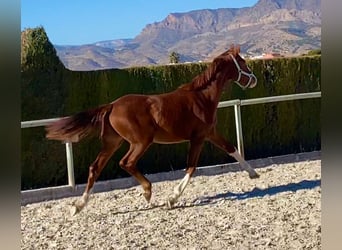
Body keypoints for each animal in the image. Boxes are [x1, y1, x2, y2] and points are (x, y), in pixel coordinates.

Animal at [46, 45, 260, 215]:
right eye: (243, 63)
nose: (254, 80)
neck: (201, 98)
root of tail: (112, 106)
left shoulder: (210, 133)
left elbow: (231, 148)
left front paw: (253, 174)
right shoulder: (198, 137)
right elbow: (191, 167)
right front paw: (172, 199)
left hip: (113, 142)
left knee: (95, 167)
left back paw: (78, 206)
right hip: (141, 141)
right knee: (126, 162)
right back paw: (147, 191)